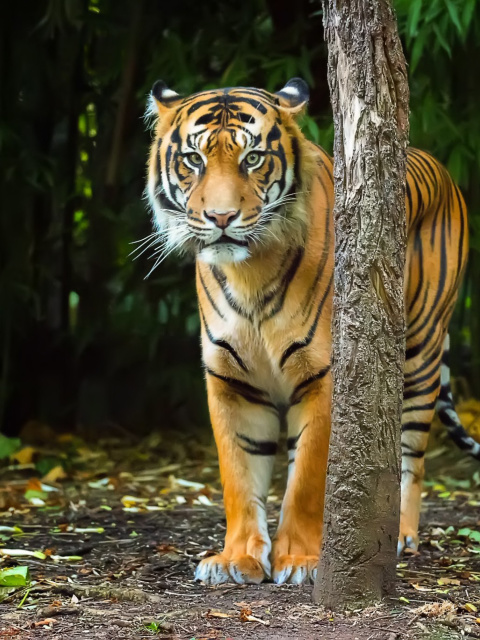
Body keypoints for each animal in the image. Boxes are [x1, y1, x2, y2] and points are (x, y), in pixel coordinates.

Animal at [144, 76, 478, 584]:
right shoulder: (231, 381)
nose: (221, 219)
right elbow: (238, 474)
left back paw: (399, 535)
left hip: (419, 354)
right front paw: (236, 558)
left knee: (409, 457)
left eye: (253, 158)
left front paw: (300, 560)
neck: (249, 273)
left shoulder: (323, 376)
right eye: (193, 160)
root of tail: (438, 165)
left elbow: (305, 479)